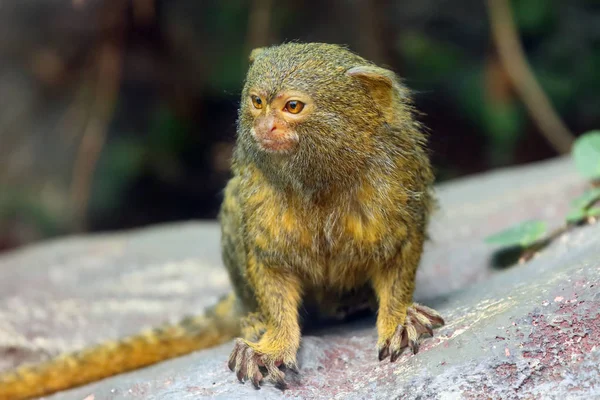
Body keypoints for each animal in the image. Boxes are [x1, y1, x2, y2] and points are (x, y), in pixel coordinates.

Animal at [0, 42, 440, 398]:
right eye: (258, 102)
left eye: (292, 107)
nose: (265, 126)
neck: (323, 180)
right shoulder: (256, 196)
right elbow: (270, 269)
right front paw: (272, 342)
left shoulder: (399, 184)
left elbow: (400, 255)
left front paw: (397, 317)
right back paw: (254, 318)